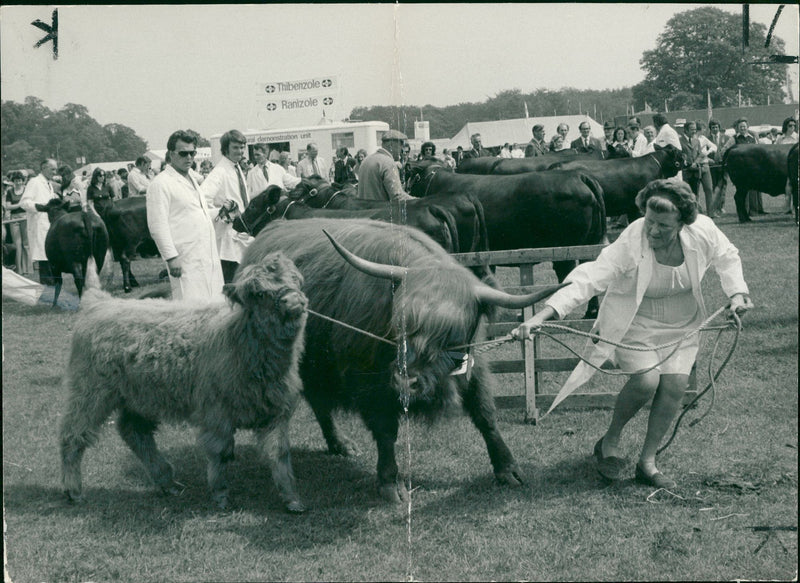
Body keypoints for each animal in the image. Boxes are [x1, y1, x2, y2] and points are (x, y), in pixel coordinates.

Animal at [58, 253, 310, 512]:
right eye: (259, 293)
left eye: (296, 280)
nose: (294, 301)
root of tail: (100, 302)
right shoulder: (216, 413)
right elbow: (221, 451)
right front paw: (220, 495)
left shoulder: (276, 411)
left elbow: (279, 453)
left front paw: (292, 498)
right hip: (89, 390)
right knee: (73, 434)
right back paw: (73, 490)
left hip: (139, 396)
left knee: (134, 432)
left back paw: (166, 481)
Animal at [238, 221, 564, 504]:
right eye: (401, 326)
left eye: (451, 335)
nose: (407, 381)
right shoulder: (370, 385)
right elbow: (386, 433)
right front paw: (390, 484)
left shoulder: (474, 368)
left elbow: (486, 416)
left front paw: (508, 469)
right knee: (318, 406)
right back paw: (340, 443)